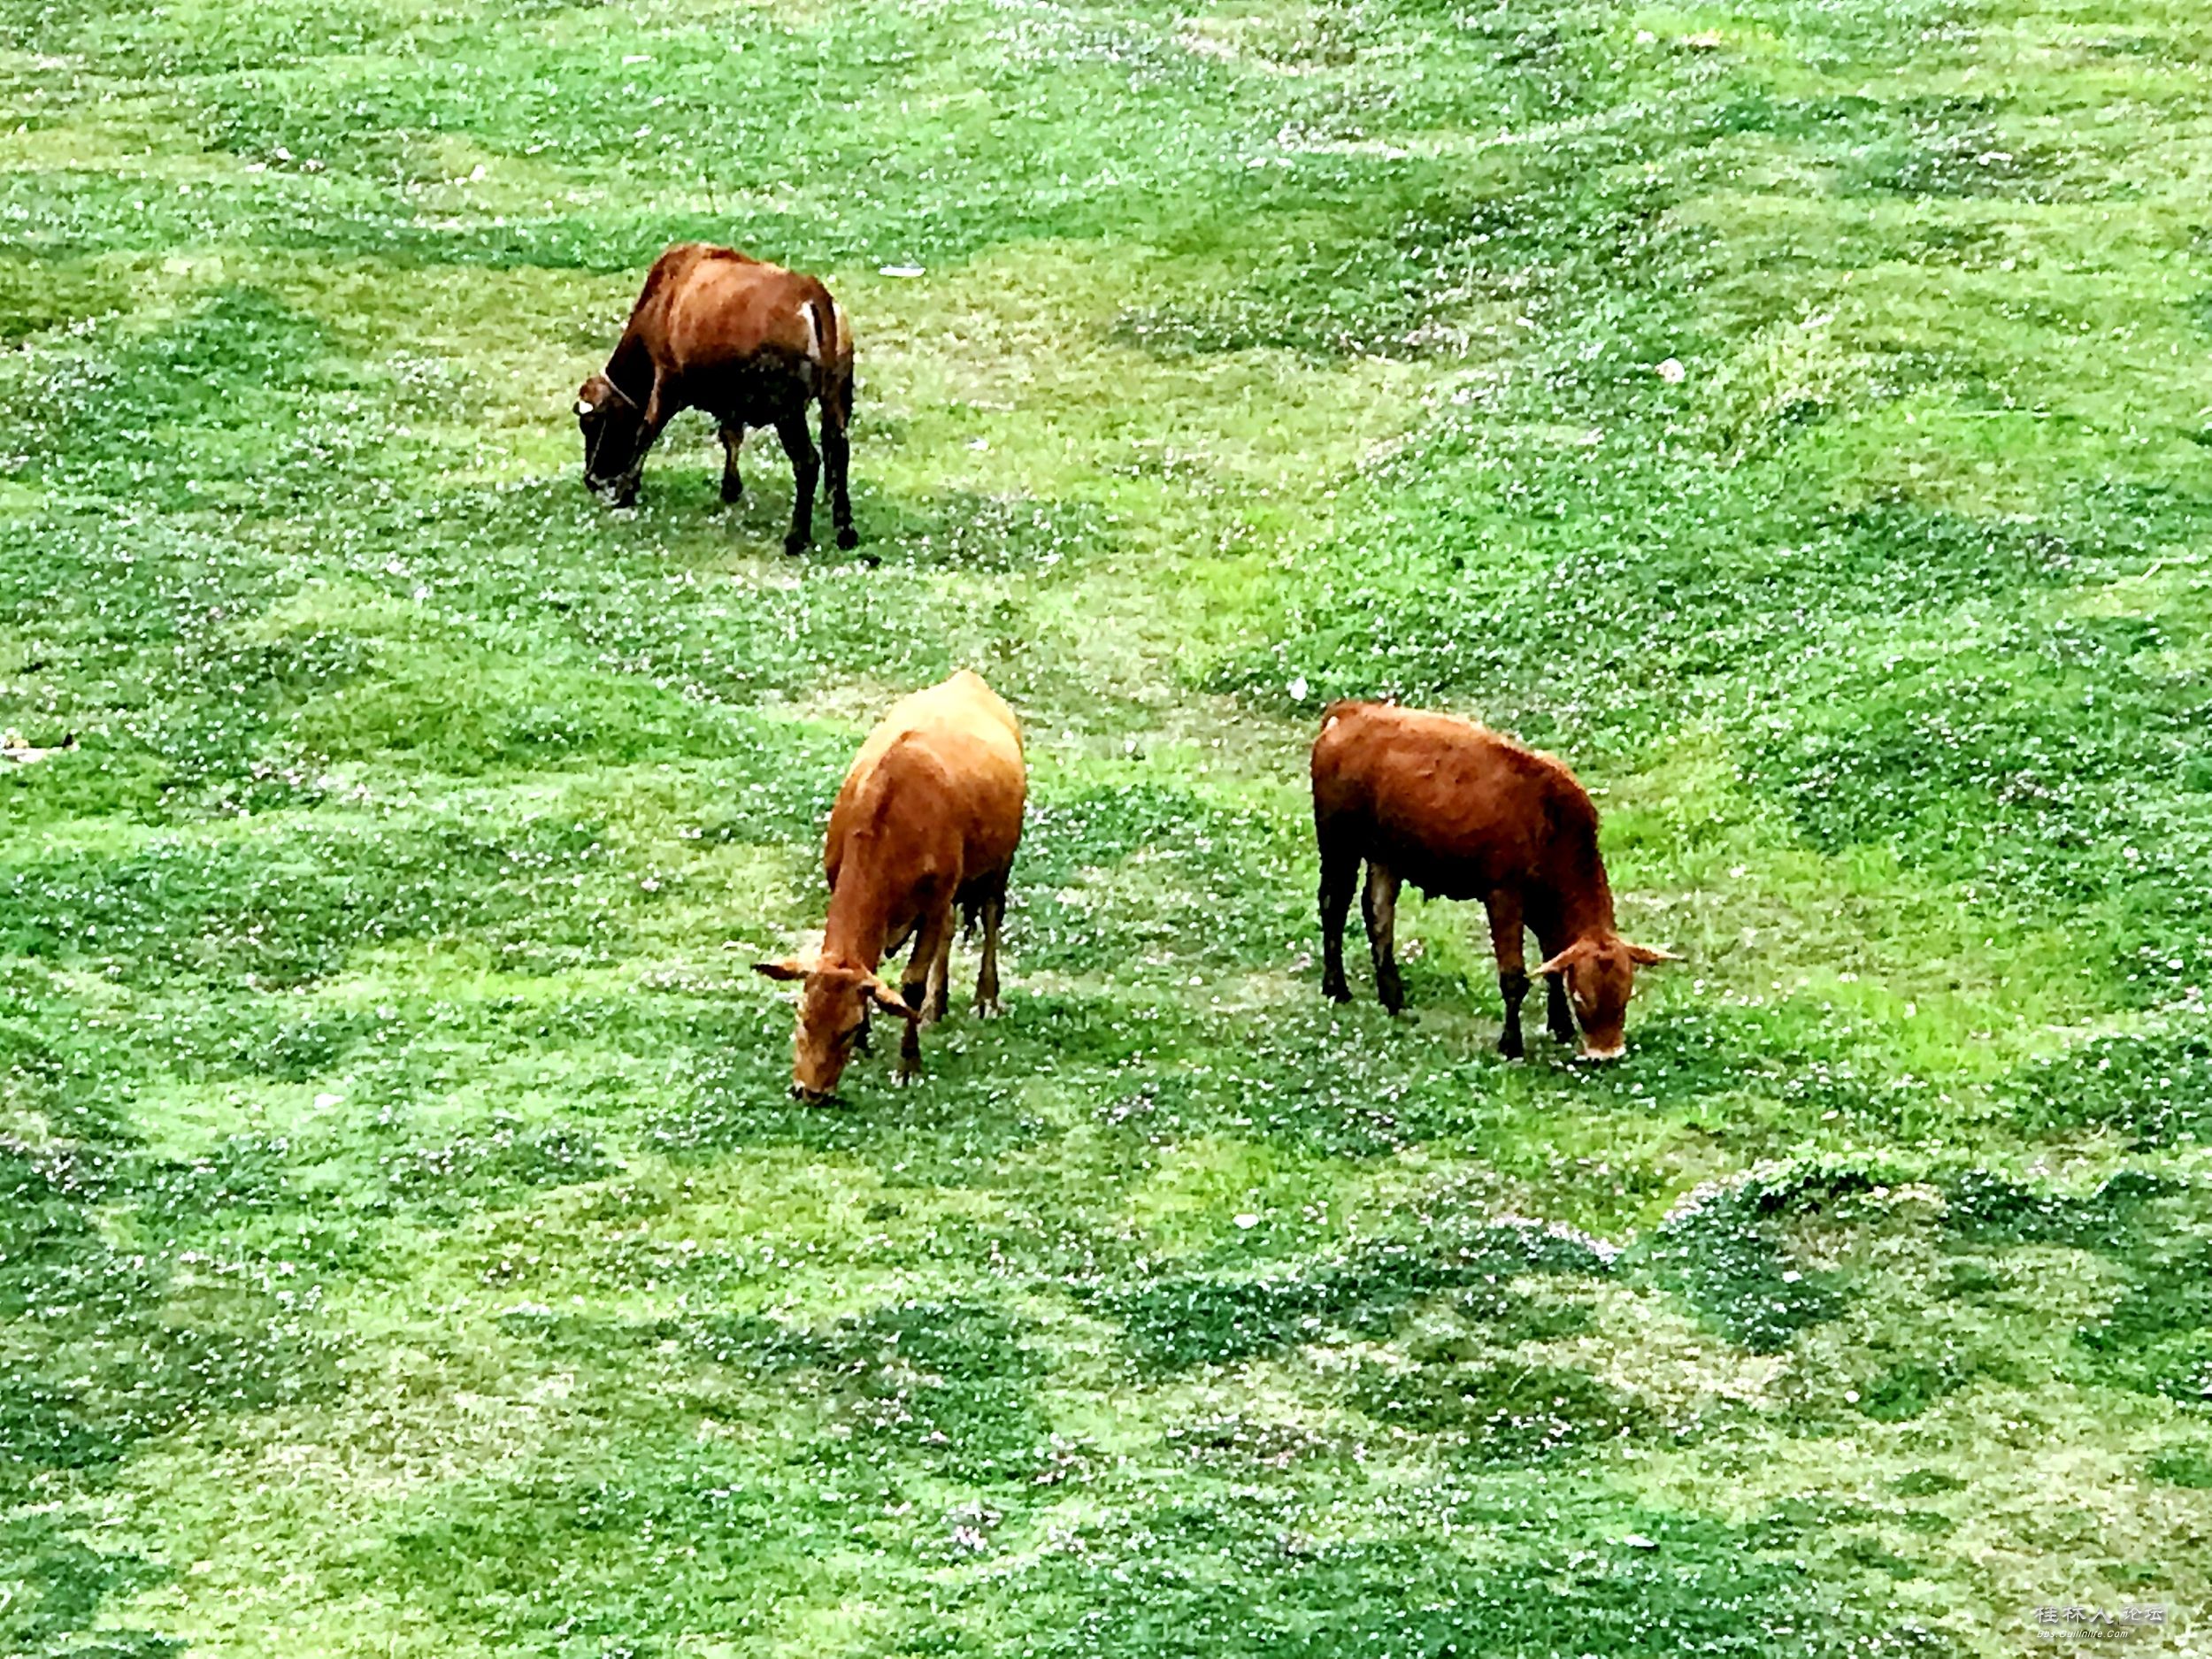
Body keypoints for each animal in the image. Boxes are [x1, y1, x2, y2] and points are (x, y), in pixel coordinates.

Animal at [576, 241, 857, 555]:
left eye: (590, 423)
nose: (591, 480)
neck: (662, 302)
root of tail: (812, 291)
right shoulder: (730, 402)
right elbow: (731, 436)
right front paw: (730, 488)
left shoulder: (667, 380)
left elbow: (647, 430)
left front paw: (626, 489)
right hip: (835, 398)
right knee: (839, 452)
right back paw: (845, 531)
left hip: (788, 410)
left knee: (807, 461)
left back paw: (796, 538)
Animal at [755, 670, 1026, 1100]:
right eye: (801, 1016)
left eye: (846, 1030)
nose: (809, 1092)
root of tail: (967, 678)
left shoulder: (933, 903)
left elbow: (910, 984)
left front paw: (907, 1063)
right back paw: (936, 1006)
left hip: (1000, 864)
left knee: (990, 915)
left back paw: (986, 998)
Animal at [1311, 700, 1677, 1062]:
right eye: (1582, 998)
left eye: (1625, 996)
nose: (1607, 1052)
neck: (1551, 820)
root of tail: (1351, 710)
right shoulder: (1503, 895)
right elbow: (1514, 976)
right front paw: (1511, 1043)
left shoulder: (1541, 905)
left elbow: (1552, 960)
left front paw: (1560, 1026)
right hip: (1338, 843)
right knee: (1334, 904)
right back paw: (1336, 987)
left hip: (1386, 855)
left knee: (1378, 912)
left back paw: (1393, 997)